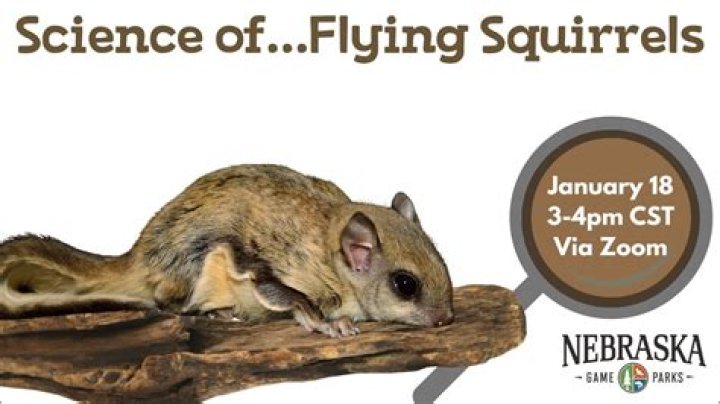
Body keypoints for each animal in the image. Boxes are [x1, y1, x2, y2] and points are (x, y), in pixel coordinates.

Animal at [0, 165, 453, 337]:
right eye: (405, 284)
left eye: (443, 267)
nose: (446, 318)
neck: (329, 254)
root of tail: (138, 258)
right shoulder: (267, 263)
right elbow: (290, 297)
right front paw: (329, 325)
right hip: (195, 266)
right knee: (167, 305)